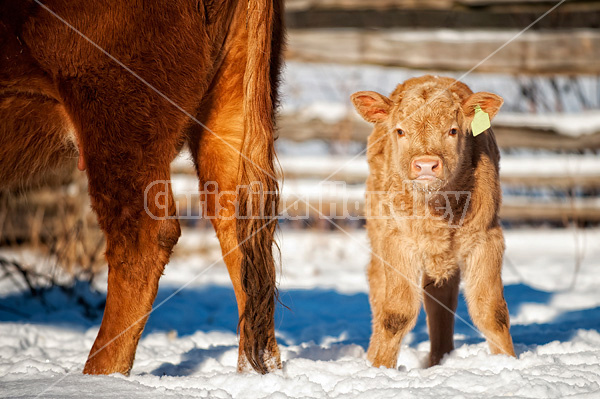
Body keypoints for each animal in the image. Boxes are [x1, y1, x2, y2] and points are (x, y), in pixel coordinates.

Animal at [352, 74, 516, 368]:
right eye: (400, 131)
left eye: (453, 131)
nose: (426, 164)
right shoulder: (397, 241)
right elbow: (396, 314)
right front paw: (381, 368)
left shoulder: (487, 238)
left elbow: (491, 313)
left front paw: (509, 363)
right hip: (378, 234)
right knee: (379, 291)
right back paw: (373, 356)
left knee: (441, 300)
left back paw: (440, 359)